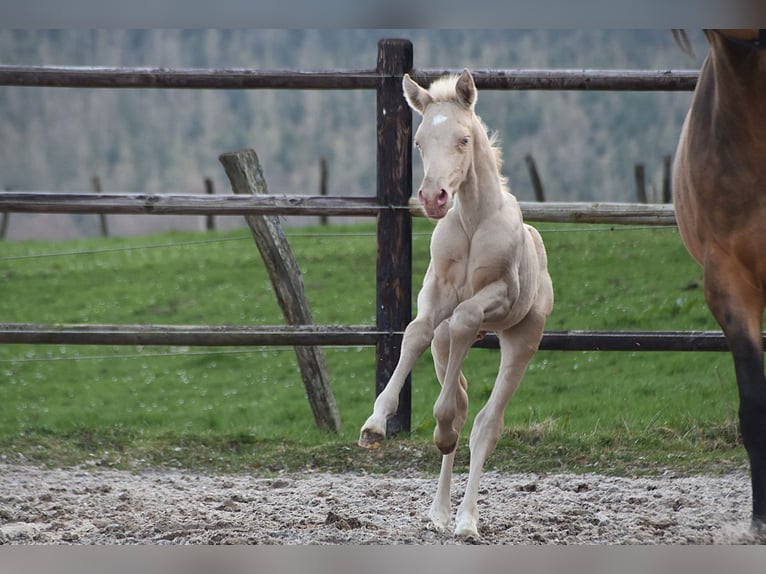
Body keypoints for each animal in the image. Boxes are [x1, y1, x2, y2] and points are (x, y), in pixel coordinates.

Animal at [358, 69, 554, 540]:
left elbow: (466, 316)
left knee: (485, 423)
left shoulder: (497, 295)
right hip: (444, 346)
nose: (434, 198)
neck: (471, 221)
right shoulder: (435, 294)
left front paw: (440, 426)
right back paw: (440, 512)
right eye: (418, 142)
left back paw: (466, 520)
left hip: (523, 336)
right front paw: (375, 426)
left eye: (463, 139)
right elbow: (414, 332)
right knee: (462, 395)